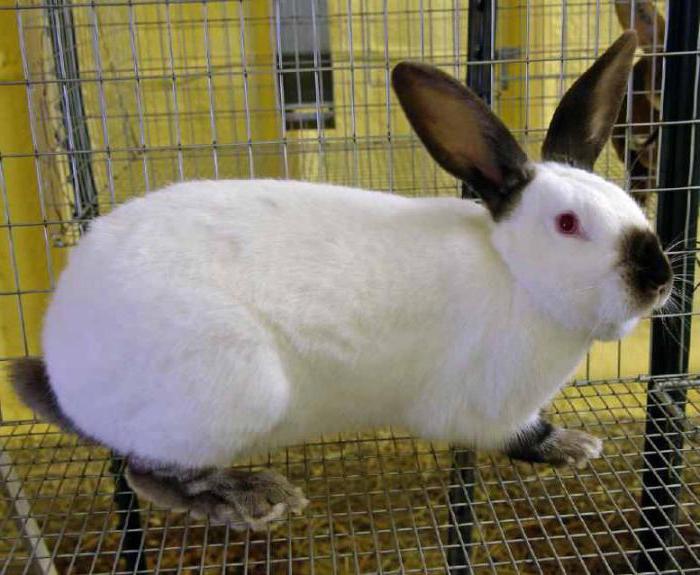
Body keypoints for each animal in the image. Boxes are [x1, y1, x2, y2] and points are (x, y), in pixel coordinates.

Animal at [10, 31, 673, 530]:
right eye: (568, 224)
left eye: (629, 204)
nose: (660, 279)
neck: (517, 276)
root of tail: (63, 364)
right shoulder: (486, 407)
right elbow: (522, 435)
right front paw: (574, 446)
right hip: (234, 390)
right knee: (144, 471)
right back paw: (251, 498)